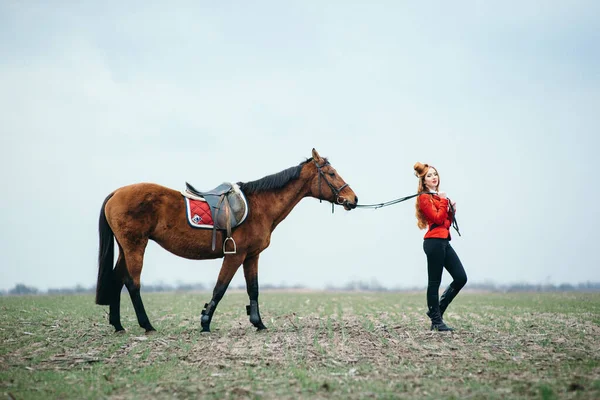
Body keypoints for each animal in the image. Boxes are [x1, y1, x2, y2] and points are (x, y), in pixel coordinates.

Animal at [94, 148, 356, 332]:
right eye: (331, 173)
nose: (353, 198)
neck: (259, 205)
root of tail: (116, 193)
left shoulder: (251, 256)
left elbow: (253, 289)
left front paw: (258, 323)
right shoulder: (236, 255)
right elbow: (220, 288)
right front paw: (205, 322)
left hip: (125, 247)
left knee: (117, 279)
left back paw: (118, 325)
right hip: (135, 246)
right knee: (132, 282)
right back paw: (147, 325)